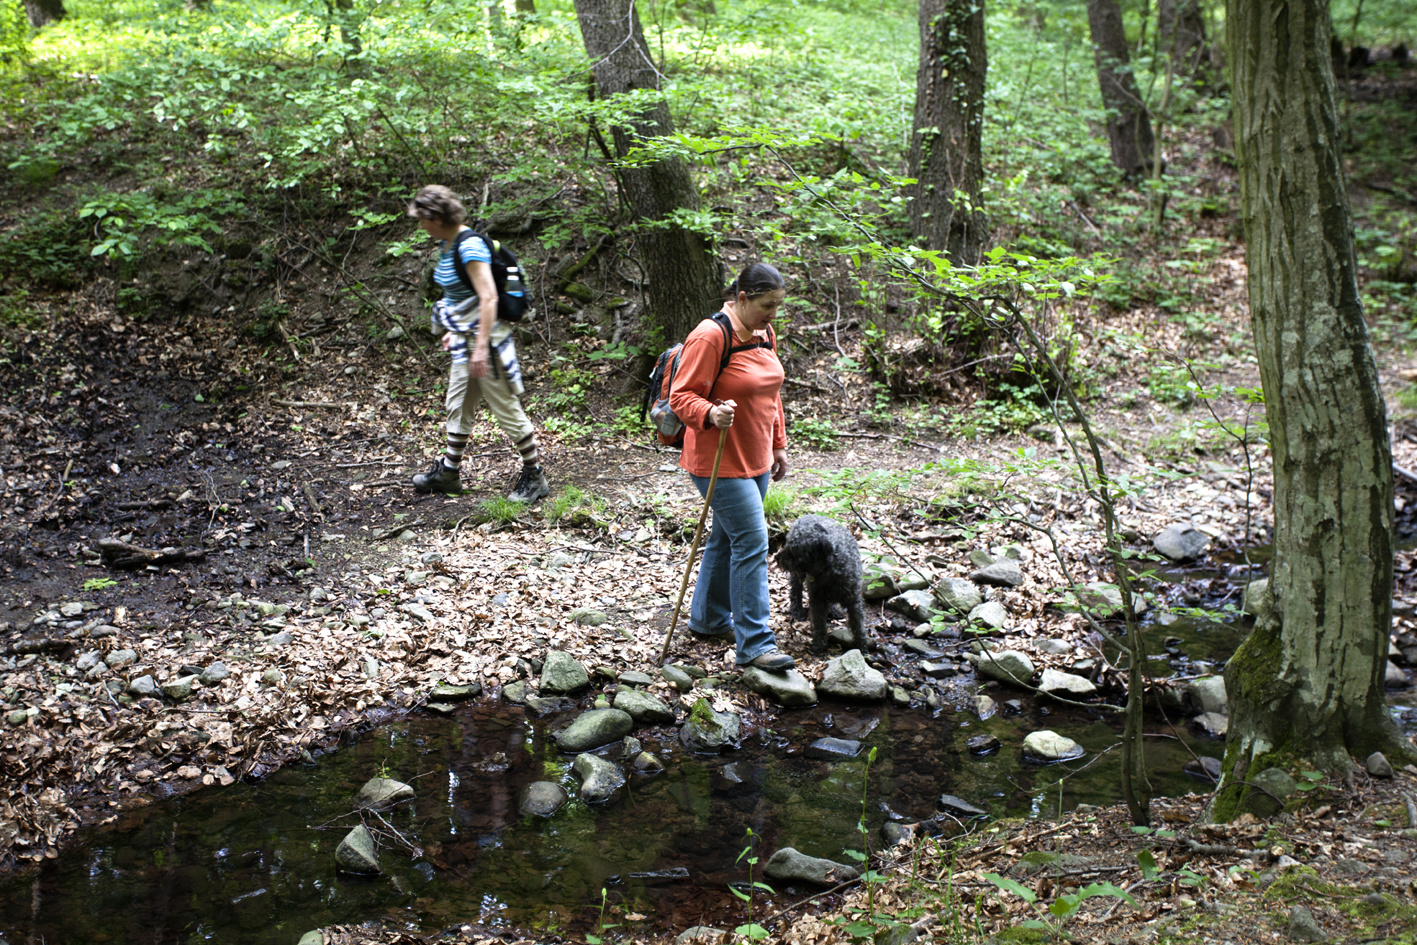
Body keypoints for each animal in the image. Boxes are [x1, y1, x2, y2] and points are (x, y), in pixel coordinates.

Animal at [776, 512, 861, 654]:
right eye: (788, 543)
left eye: (793, 549)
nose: (777, 558)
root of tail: (808, 515)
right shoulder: (817, 600)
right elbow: (819, 623)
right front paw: (819, 645)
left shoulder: (854, 600)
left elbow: (859, 625)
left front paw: (863, 647)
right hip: (797, 577)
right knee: (795, 592)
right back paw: (797, 610)